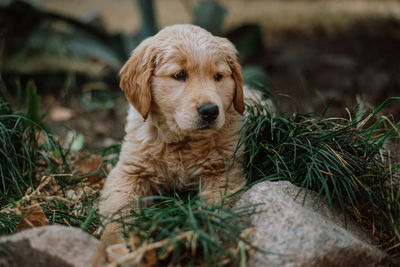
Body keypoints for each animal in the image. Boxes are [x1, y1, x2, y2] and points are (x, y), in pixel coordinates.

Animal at [98, 24, 245, 226]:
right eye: (179, 75)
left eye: (218, 76)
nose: (210, 111)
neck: (181, 143)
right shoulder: (130, 172)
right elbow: (119, 206)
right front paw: (116, 233)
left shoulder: (223, 172)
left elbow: (218, 204)